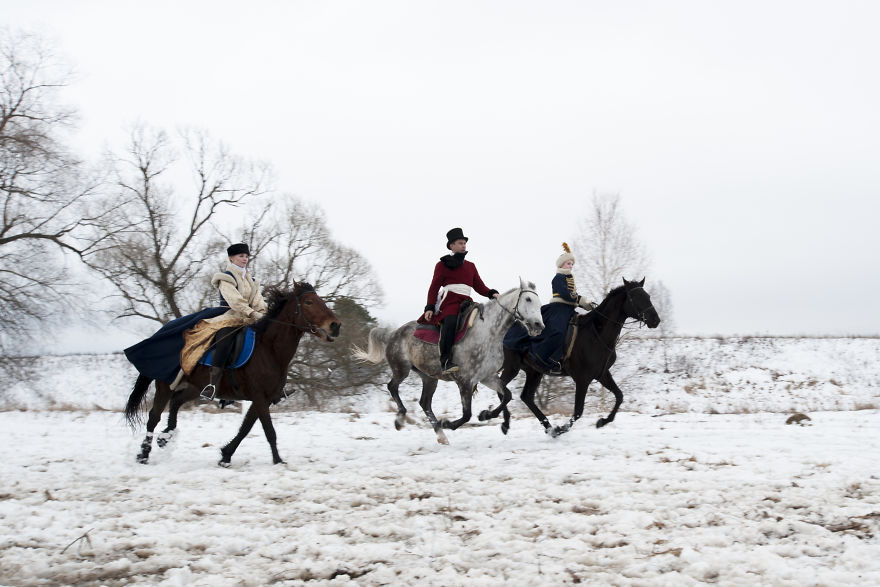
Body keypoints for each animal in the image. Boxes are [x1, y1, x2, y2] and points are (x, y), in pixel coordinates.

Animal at [125, 283, 341, 466]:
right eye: (309, 302)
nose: (335, 325)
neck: (268, 349)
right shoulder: (259, 397)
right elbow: (269, 430)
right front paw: (278, 461)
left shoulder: (263, 398)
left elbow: (246, 428)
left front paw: (226, 456)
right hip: (165, 383)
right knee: (154, 416)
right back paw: (144, 454)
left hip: (195, 387)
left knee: (176, 402)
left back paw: (166, 437)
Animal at [352, 278, 544, 444]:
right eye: (528, 299)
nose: (539, 325)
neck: (488, 334)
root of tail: (393, 333)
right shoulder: (465, 380)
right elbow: (467, 414)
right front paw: (448, 423)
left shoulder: (487, 377)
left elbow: (507, 396)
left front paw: (485, 415)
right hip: (402, 369)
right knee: (392, 386)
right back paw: (401, 419)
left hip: (429, 377)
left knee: (424, 403)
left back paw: (441, 435)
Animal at [488, 278, 660, 436]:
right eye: (636, 297)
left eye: (647, 296)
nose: (655, 320)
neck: (597, 333)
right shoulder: (582, 379)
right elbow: (578, 411)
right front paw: (561, 428)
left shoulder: (602, 374)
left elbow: (619, 396)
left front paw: (603, 421)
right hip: (512, 367)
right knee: (503, 390)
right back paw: (497, 418)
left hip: (533, 371)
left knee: (526, 397)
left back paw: (548, 427)